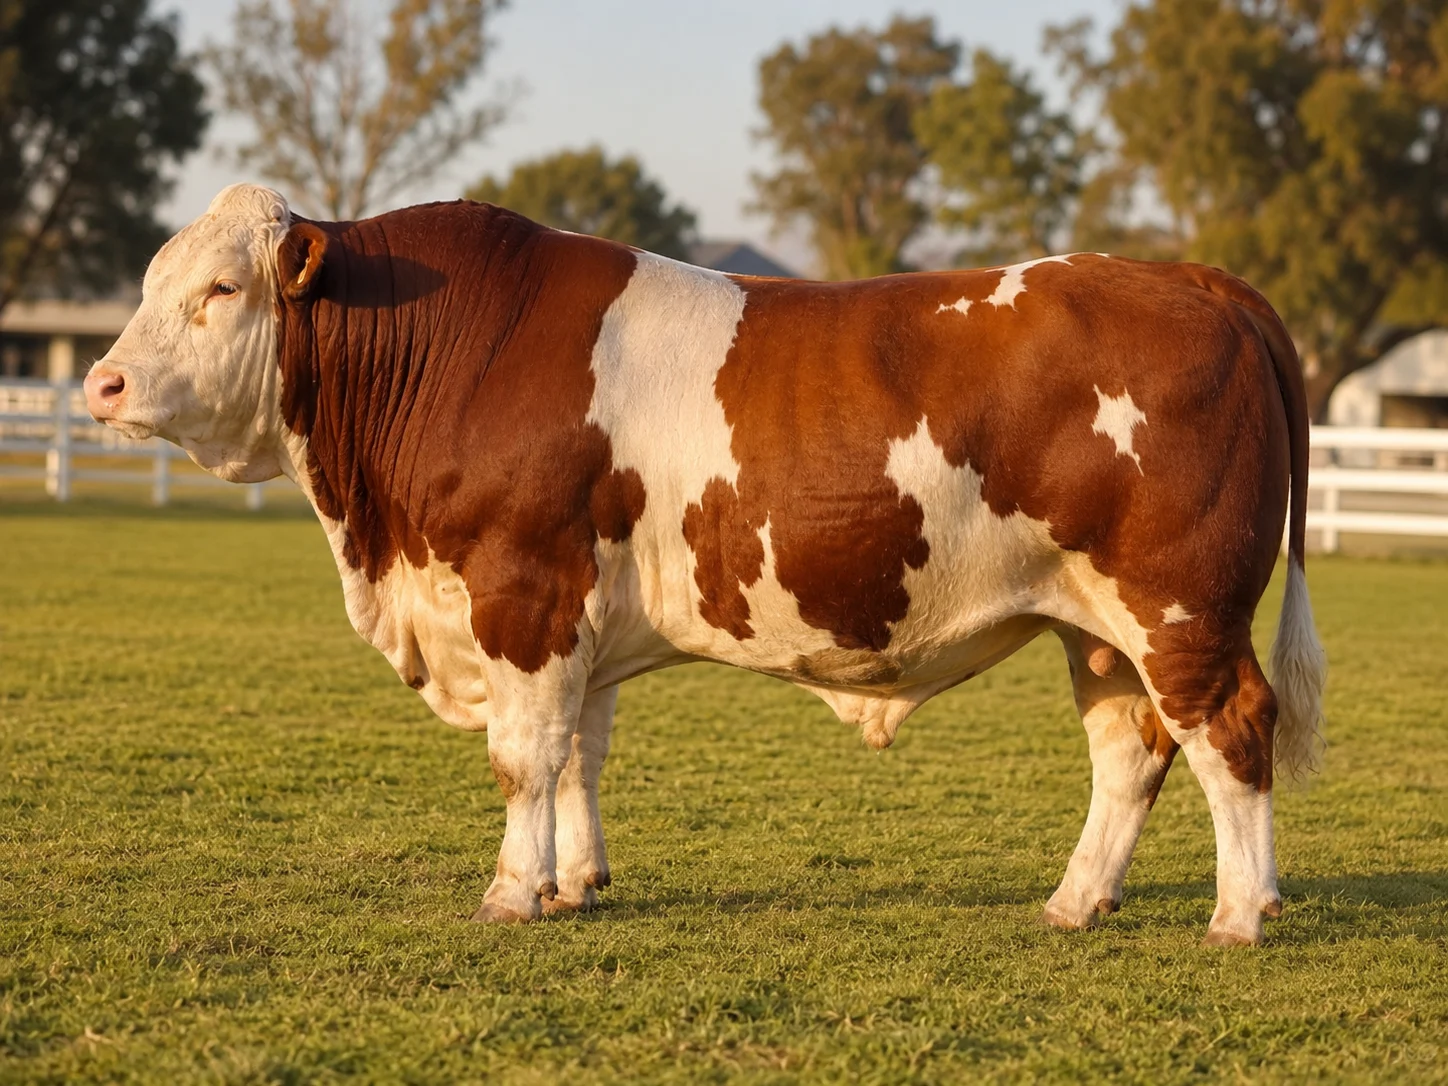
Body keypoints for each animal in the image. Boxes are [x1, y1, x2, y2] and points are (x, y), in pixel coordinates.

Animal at [85, 184, 1326, 946]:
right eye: (149, 281)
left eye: (220, 290)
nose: (100, 383)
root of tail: (1195, 280)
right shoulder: (572, 617)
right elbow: (578, 758)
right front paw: (573, 885)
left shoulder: (519, 592)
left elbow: (522, 761)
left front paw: (509, 894)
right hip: (1097, 627)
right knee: (1128, 751)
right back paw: (1075, 902)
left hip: (1180, 611)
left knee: (1231, 731)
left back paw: (1236, 914)